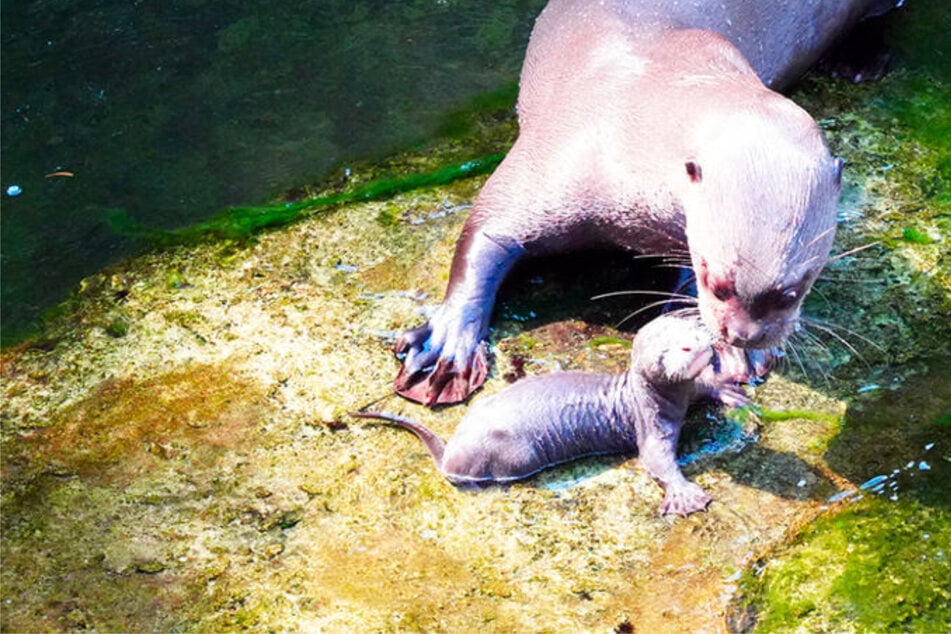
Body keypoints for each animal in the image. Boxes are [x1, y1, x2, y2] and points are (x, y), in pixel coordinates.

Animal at [363, 312, 775, 516]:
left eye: (698, 331)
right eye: (682, 346)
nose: (706, 343)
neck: (663, 398)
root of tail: (450, 453)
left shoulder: (688, 390)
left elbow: (705, 386)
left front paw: (732, 392)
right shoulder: (650, 422)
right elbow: (657, 460)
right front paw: (685, 494)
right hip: (514, 453)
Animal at [394, 0, 900, 406]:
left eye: (795, 289)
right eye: (716, 282)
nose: (744, 334)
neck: (627, 131)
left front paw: (731, 353)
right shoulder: (556, 158)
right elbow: (484, 233)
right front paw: (445, 348)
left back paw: (860, 58)